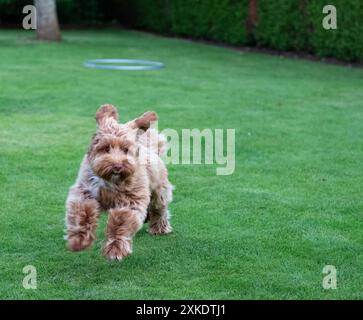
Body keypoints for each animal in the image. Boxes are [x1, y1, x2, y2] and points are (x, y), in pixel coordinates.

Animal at [64, 105, 173, 260]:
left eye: (125, 149)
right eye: (106, 148)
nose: (117, 166)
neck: (111, 181)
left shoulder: (131, 200)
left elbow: (121, 222)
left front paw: (115, 249)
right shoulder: (84, 192)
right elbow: (82, 213)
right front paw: (79, 240)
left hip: (159, 191)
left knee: (159, 210)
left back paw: (159, 228)